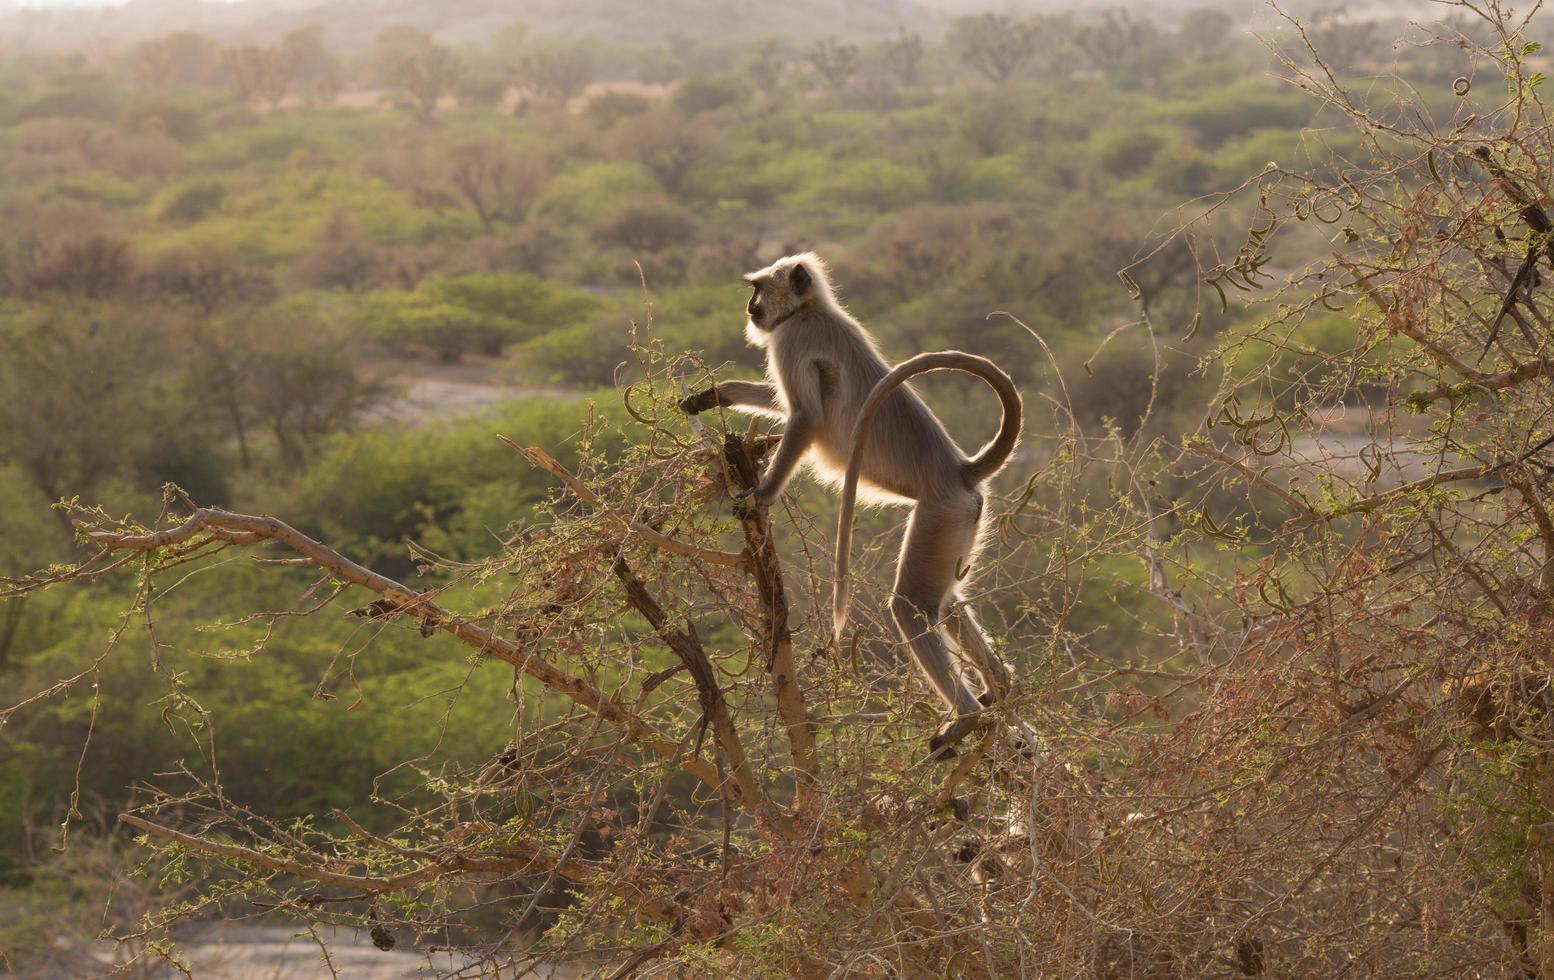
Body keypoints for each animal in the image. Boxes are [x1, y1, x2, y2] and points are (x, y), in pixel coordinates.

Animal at [683, 253, 1025, 757]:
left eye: (759, 289)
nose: (751, 308)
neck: (811, 310)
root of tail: (962, 469)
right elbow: (784, 404)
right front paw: (714, 394)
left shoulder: (792, 339)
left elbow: (804, 415)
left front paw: (761, 494)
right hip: (962, 521)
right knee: (946, 603)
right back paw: (1000, 690)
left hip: (941, 513)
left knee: (912, 605)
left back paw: (966, 719)